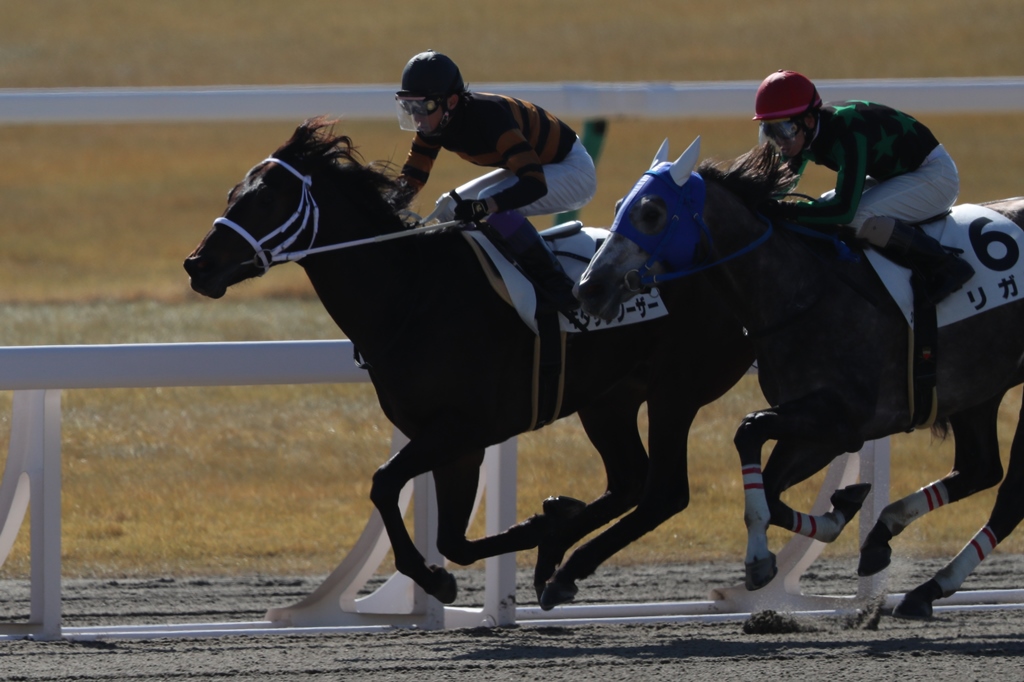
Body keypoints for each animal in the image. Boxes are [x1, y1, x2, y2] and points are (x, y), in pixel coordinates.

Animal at [182, 116, 753, 606]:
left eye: (266, 198)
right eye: (234, 193)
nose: (197, 265)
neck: (411, 294)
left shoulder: (463, 427)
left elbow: (384, 484)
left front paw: (439, 579)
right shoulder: (450, 441)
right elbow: (452, 539)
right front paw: (533, 529)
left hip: (675, 391)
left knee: (664, 493)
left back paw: (563, 561)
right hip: (609, 399)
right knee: (629, 480)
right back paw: (556, 557)